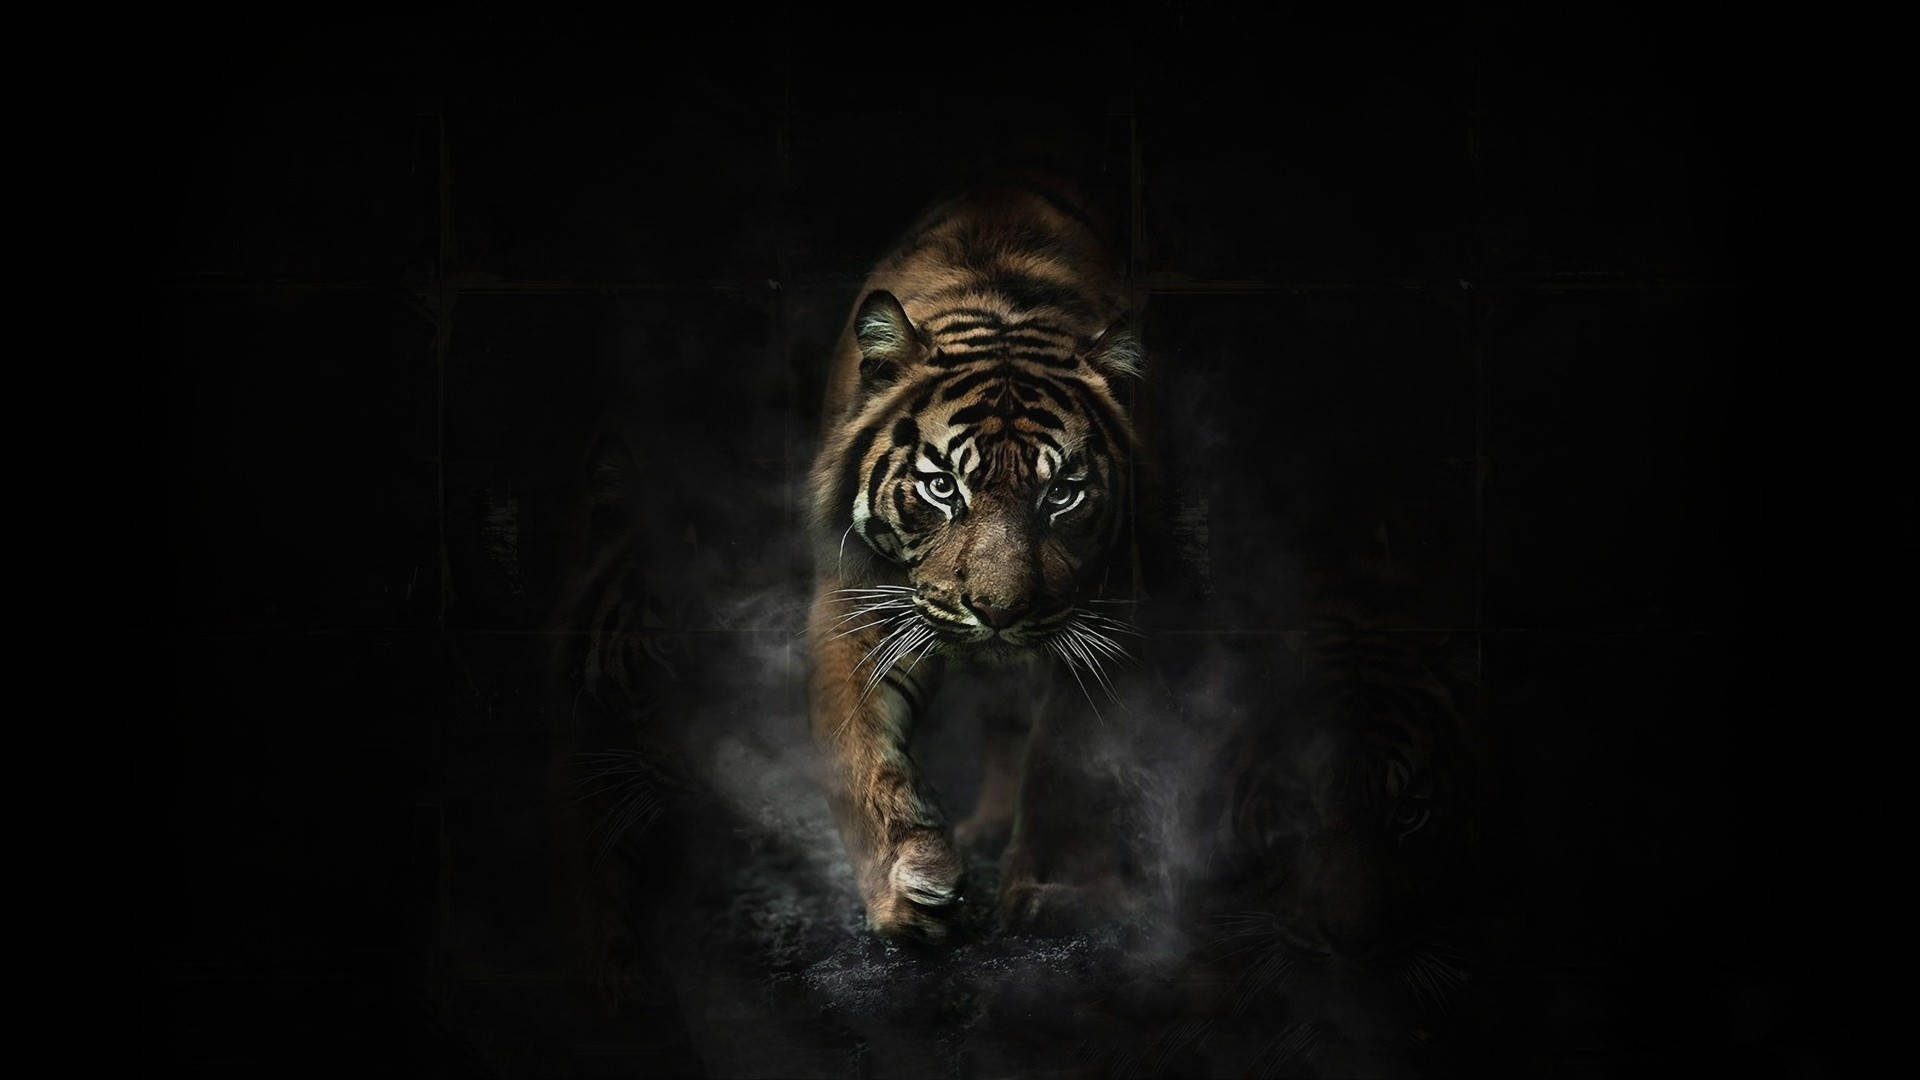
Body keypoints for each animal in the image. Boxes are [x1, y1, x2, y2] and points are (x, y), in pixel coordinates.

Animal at [804, 182, 1145, 941]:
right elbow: (858, 750)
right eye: (941, 488)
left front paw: (1047, 890)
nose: (997, 610)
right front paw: (908, 886)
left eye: (1062, 493)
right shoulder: (857, 596)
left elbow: (1062, 760)